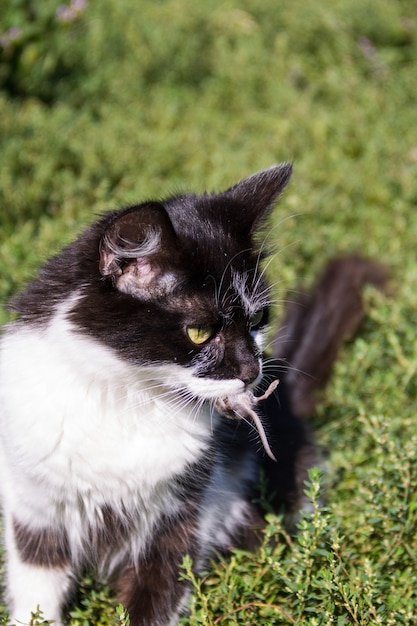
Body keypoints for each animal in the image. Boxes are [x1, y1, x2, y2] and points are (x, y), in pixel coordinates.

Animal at [0, 163, 386, 620]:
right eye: (200, 332)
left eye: (258, 319)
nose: (252, 371)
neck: (130, 396)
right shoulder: (35, 507)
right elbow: (36, 592)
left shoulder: (183, 515)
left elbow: (156, 599)